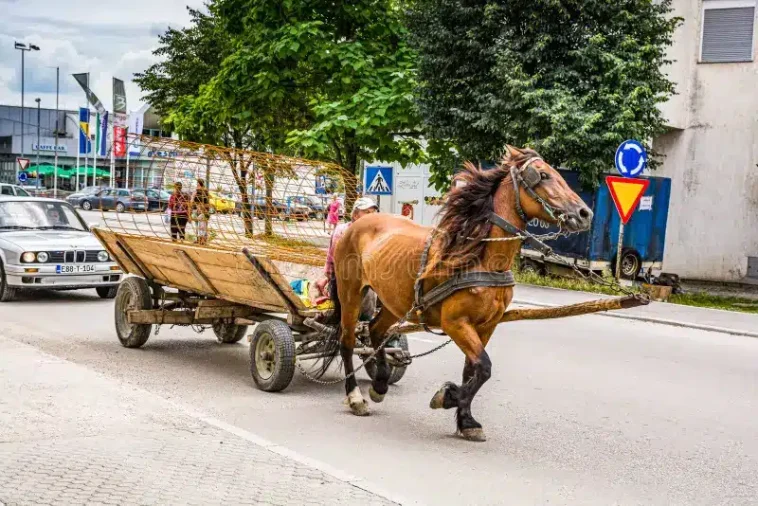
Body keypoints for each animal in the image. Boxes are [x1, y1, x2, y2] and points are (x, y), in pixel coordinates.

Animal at [326, 144, 592, 440]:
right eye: (543, 175)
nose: (585, 213)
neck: (481, 257)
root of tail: (355, 225)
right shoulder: (454, 323)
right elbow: (484, 368)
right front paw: (448, 396)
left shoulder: (487, 325)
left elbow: (472, 370)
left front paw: (466, 420)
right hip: (351, 293)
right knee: (348, 342)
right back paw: (355, 397)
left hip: (393, 301)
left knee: (375, 330)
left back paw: (380, 384)